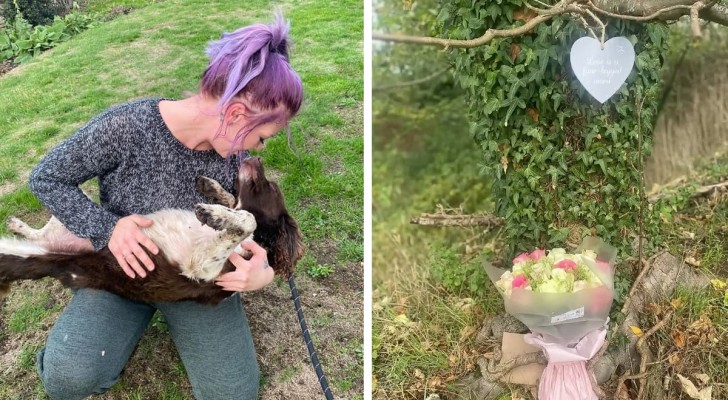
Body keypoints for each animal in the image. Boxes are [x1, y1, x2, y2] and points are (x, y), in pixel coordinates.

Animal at [0, 156, 304, 304]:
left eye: (271, 186)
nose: (257, 156)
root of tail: (60, 260)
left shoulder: (203, 268)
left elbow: (247, 218)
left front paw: (214, 213)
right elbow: (235, 205)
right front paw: (212, 192)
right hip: (73, 212)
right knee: (43, 230)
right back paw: (17, 224)